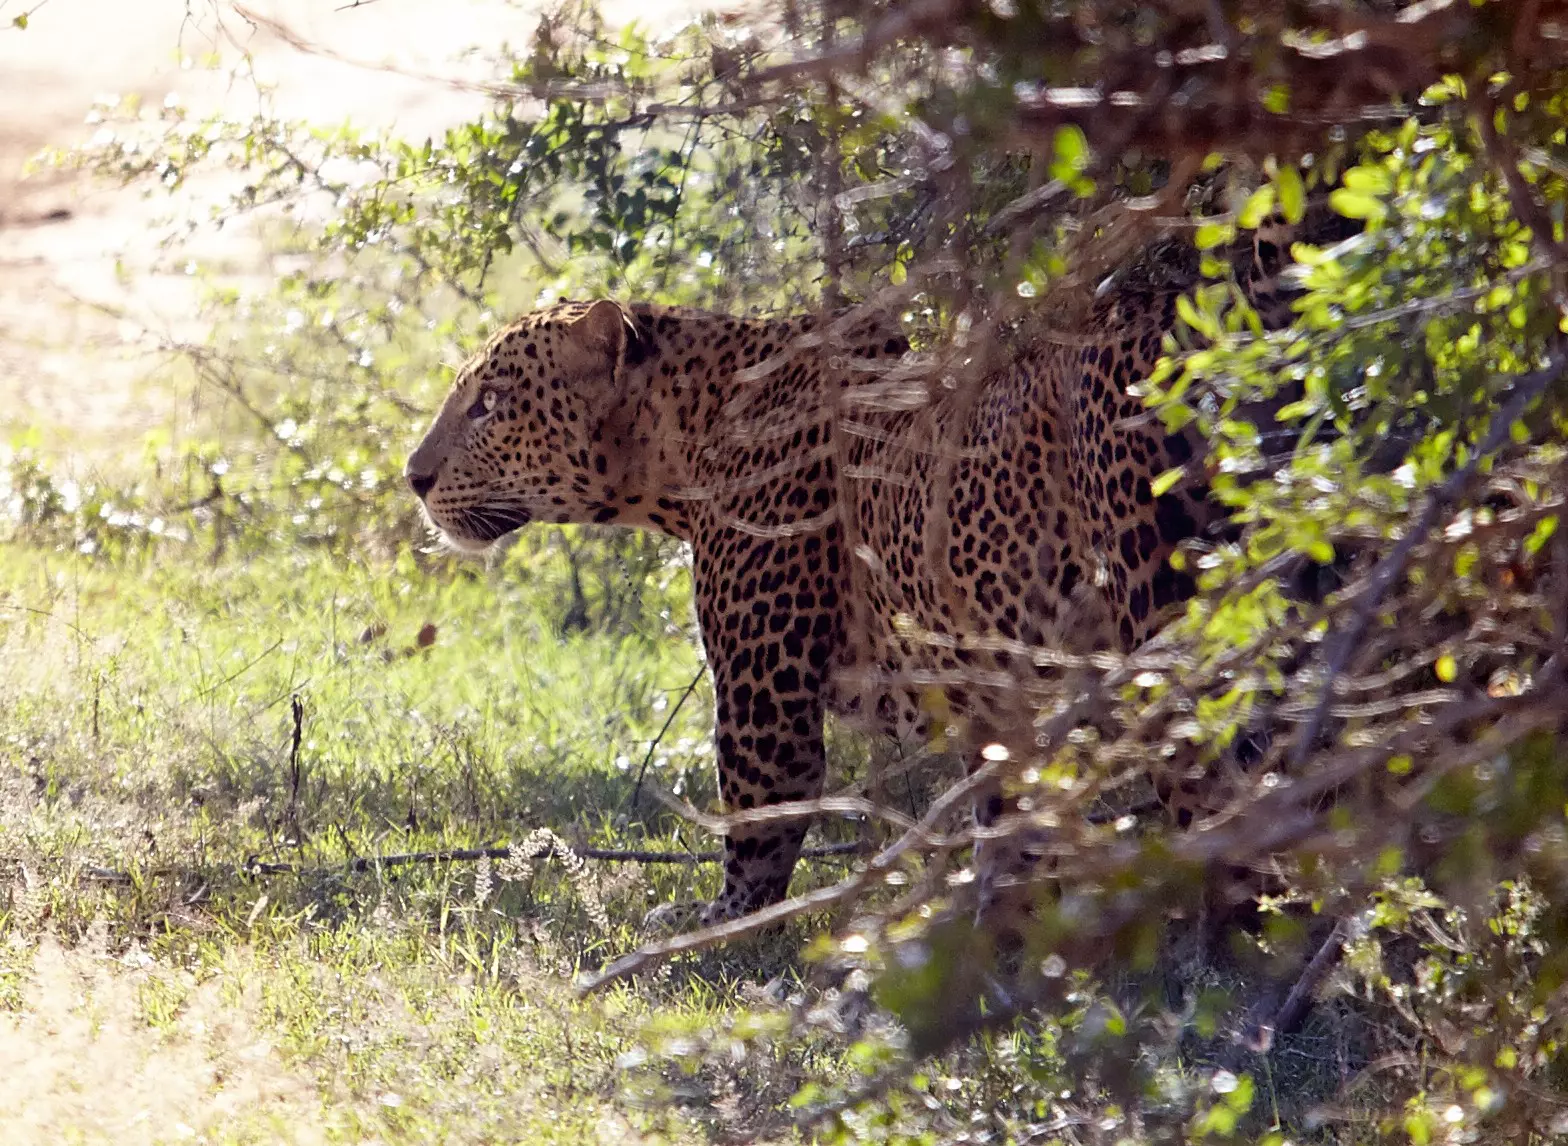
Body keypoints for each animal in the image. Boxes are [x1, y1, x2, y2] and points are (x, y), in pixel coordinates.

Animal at [404, 285, 1229, 924]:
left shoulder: (765, 687)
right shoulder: (999, 701)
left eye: (489, 405)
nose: (413, 477)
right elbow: (1011, 819)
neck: (689, 440)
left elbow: (760, 815)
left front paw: (717, 926)